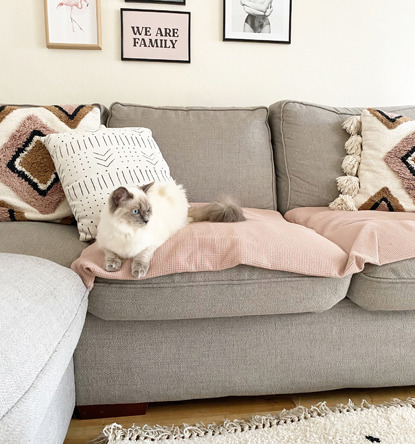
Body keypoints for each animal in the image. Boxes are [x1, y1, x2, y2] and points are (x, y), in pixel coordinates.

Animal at [96, 180, 247, 278]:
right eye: (135, 211)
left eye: (148, 210)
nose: (146, 221)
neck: (128, 231)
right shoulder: (103, 244)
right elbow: (111, 254)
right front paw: (112, 265)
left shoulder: (151, 244)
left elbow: (141, 256)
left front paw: (138, 271)